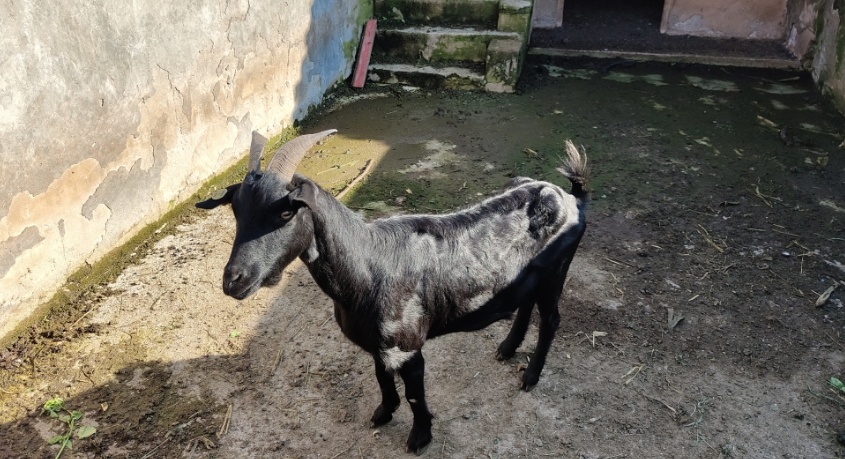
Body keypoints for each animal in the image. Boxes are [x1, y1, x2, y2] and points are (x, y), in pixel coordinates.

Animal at [197, 129, 589, 454]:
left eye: (285, 214)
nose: (234, 281)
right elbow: (381, 379)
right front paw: (383, 413)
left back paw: (530, 377)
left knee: (551, 319)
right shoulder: (376, 345)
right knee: (526, 305)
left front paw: (419, 438)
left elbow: (415, 394)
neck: (370, 265)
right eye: (236, 210)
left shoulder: (407, 347)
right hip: (531, 277)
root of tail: (573, 198)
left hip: (556, 273)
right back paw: (507, 349)